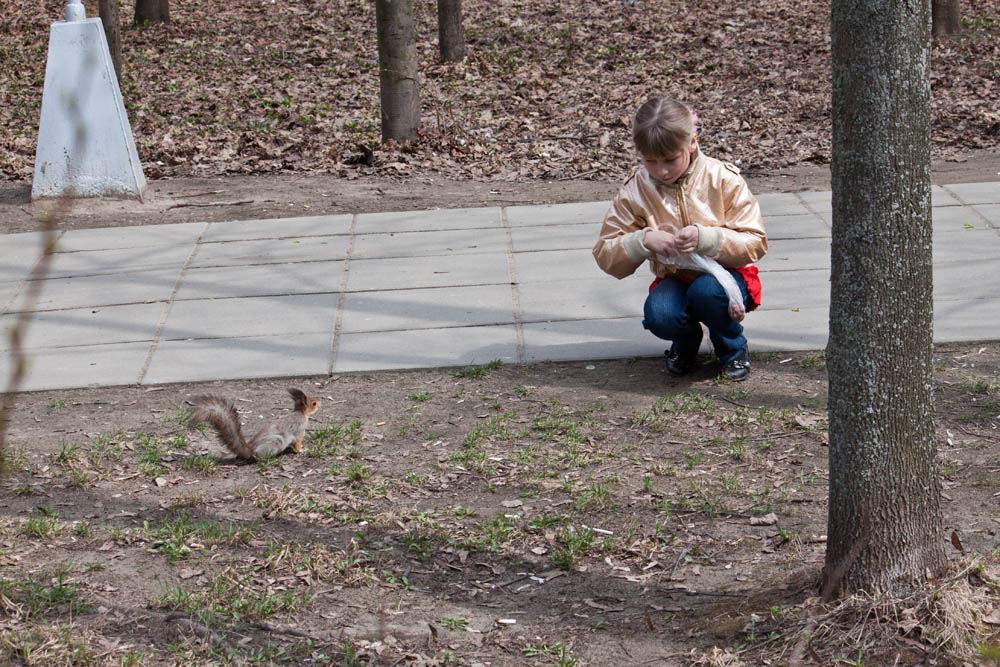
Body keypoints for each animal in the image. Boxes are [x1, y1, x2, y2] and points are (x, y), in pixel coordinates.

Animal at [189, 388, 322, 462]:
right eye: (314, 403)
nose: (320, 403)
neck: (300, 413)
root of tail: (250, 449)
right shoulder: (299, 430)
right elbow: (297, 443)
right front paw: (302, 450)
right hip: (275, 442)